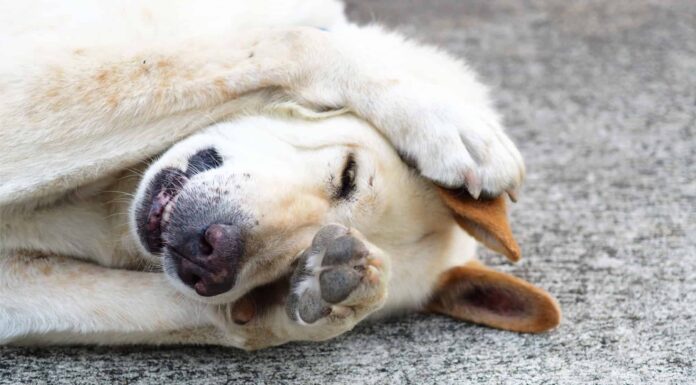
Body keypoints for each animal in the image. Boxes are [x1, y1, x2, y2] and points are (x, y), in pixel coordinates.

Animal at [0, 0, 556, 348]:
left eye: (294, 266)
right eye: (348, 175)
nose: (210, 258)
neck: (109, 204)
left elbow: (221, 321)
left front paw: (319, 303)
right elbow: (297, 42)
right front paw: (443, 119)